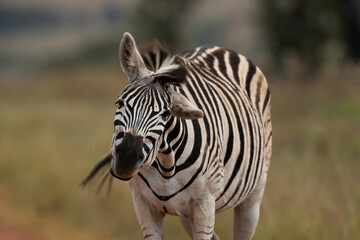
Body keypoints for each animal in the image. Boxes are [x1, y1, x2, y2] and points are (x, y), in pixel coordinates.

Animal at [82, 32, 272, 240]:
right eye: (120, 102)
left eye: (166, 114)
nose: (125, 161)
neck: (166, 165)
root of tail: (217, 47)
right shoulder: (143, 204)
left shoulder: (204, 206)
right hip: (185, 213)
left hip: (254, 193)